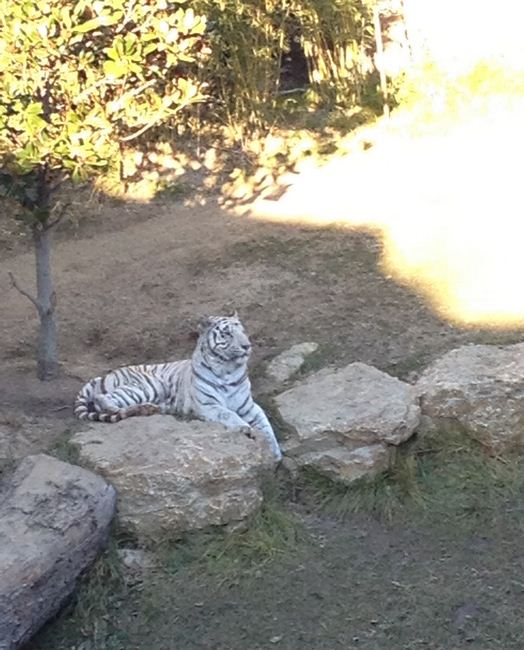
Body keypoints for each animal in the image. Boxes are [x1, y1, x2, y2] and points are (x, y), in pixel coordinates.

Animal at [73, 314, 282, 460]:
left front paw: (276, 453)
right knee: (102, 400)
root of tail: (103, 375)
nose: (247, 346)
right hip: (148, 386)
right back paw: (126, 409)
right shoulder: (208, 405)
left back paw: (148, 409)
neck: (229, 370)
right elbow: (228, 414)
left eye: (243, 332)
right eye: (227, 333)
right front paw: (245, 428)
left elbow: (266, 426)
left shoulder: (249, 406)